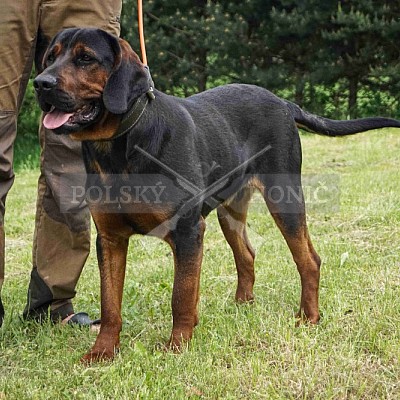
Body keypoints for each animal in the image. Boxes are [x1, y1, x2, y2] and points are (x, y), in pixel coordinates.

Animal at [34, 26, 400, 360]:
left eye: (85, 58)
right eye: (50, 57)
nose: (40, 83)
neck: (120, 146)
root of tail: (283, 102)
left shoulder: (187, 230)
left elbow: (181, 294)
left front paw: (177, 345)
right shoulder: (110, 238)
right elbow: (111, 302)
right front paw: (102, 351)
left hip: (284, 198)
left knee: (309, 259)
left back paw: (309, 317)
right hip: (230, 210)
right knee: (247, 254)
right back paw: (242, 304)